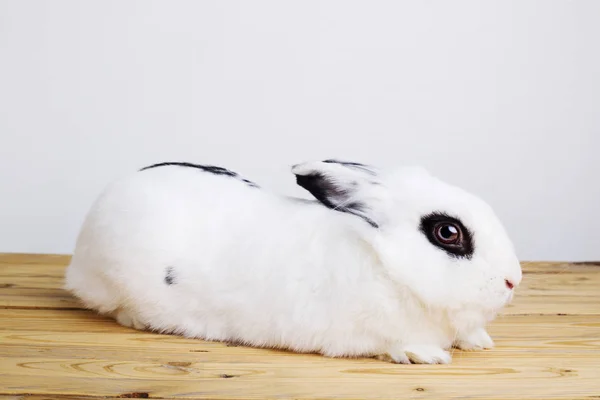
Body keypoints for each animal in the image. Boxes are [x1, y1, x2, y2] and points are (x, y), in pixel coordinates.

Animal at [62, 159, 520, 362]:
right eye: (448, 233)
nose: (512, 280)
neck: (387, 265)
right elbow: (395, 344)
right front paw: (426, 354)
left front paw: (478, 340)